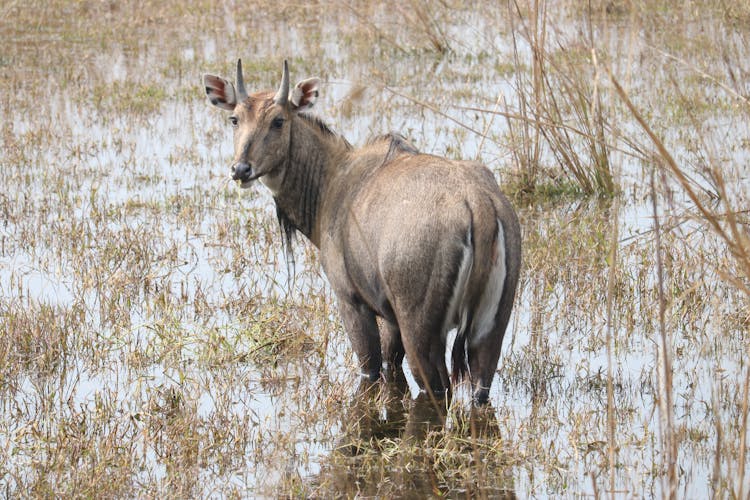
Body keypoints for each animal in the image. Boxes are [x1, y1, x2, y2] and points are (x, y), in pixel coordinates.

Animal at [204, 60, 524, 404]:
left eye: (278, 120)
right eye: (235, 118)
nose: (241, 169)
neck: (331, 181)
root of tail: (479, 203)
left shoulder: (352, 303)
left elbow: (370, 371)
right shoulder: (391, 319)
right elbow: (391, 365)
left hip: (421, 332)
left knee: (437, 390)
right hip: (489, 330)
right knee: (480, 388)